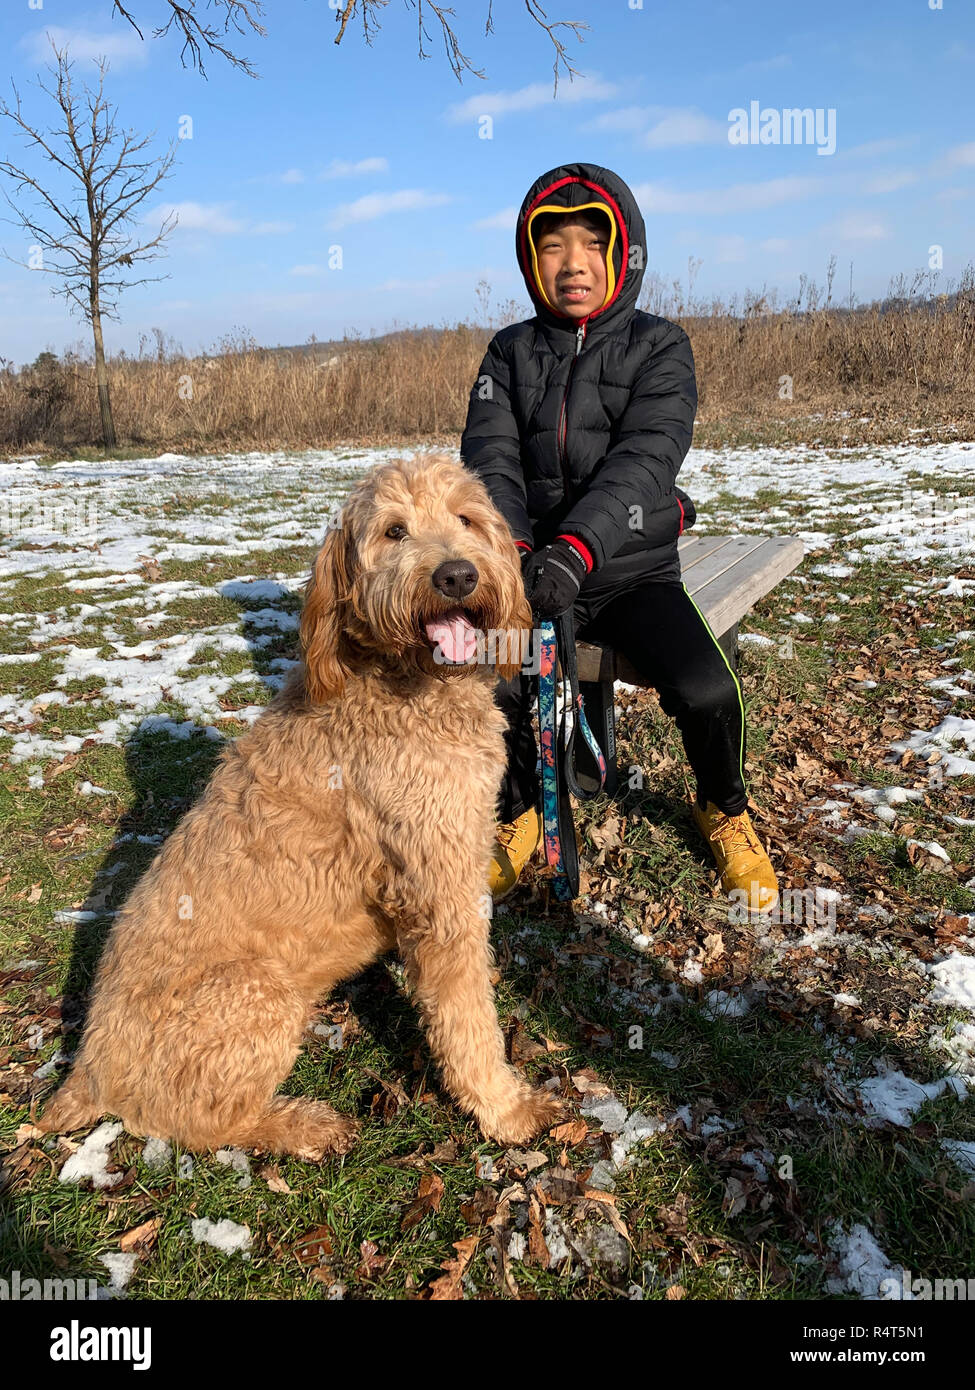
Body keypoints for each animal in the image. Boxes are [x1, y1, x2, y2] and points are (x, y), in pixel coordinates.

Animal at [41, 450, 567, 1156]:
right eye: (394, 531)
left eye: (465, 518)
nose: (456, 575)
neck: (398, 681)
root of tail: (86, 1070)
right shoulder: (437, 887)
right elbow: (465, 1017)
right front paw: (505, 1110)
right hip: (259, 993)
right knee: (198, 1123)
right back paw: (302, 1123)